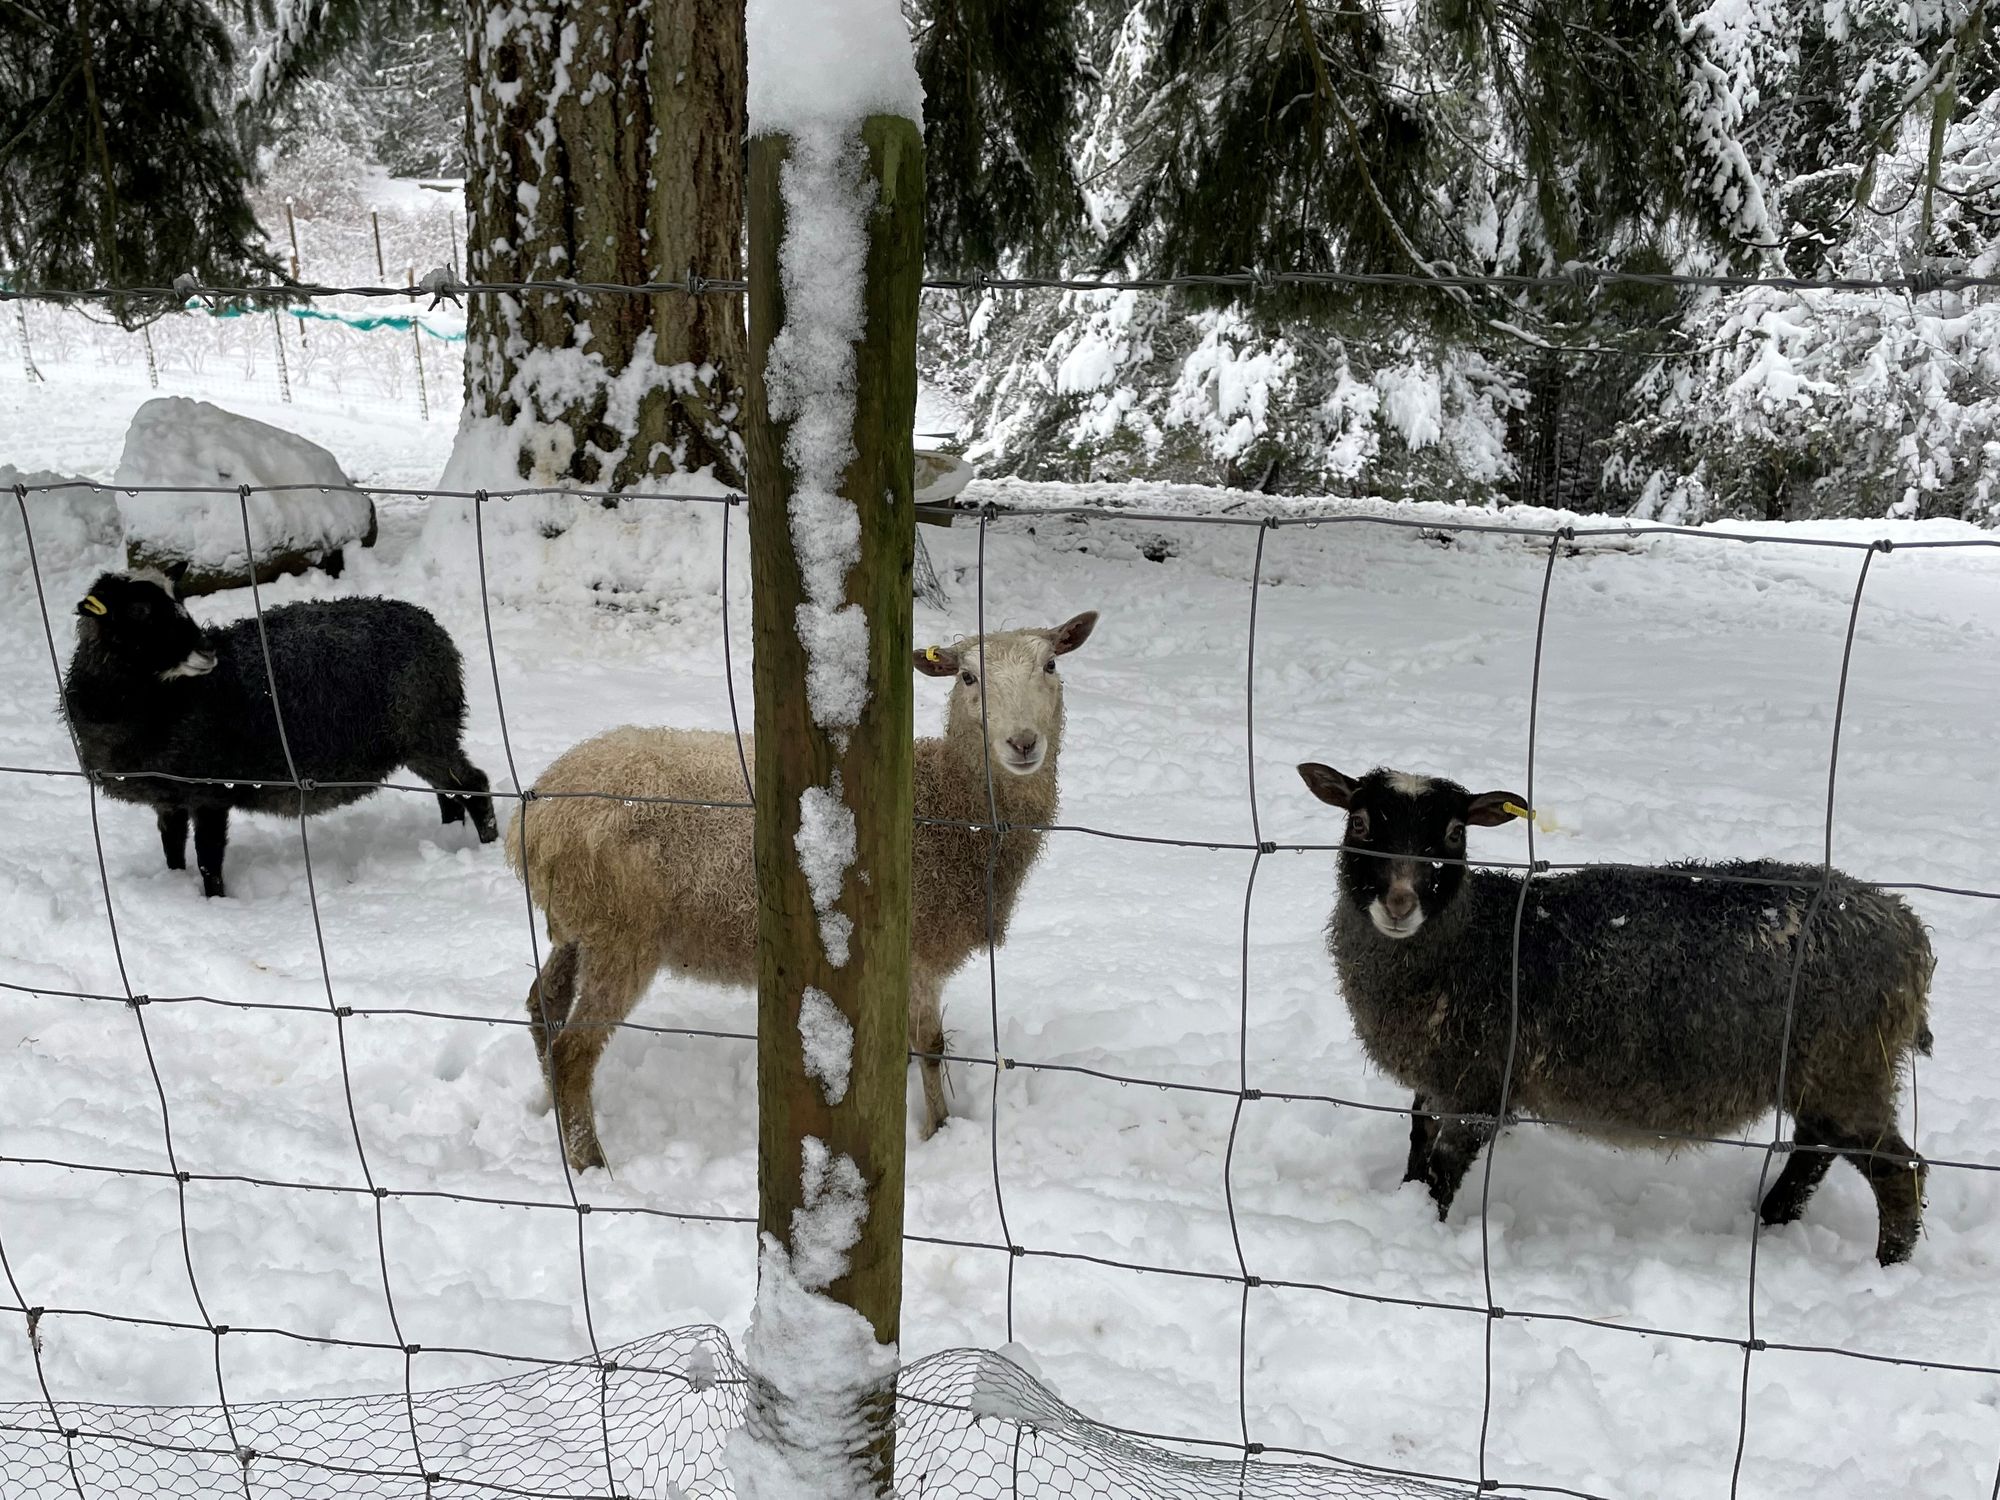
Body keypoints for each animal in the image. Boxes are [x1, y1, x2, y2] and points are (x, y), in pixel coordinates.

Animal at [64, 560, 500, 892]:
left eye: (180, 601)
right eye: (139, 613)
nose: (207, 650)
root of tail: (431, 627)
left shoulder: (212, 789)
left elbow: (208, 858)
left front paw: (215, 902)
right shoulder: (168, 795)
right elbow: (172, 849)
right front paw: (175, 885)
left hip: (428, 730)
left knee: (473, 784)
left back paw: (487, 845)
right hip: (420, 738)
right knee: (448, 793)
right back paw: (449, 839)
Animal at [500, 612, 1096, 1176]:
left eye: (1050, 666)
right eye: (968, 678)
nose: (1023, 742)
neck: (951, 808)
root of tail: (536, 817)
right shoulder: (917, 952)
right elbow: (931, 1047)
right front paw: (938, 1131)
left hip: (580, 923)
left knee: (542, 1003)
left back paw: (553, 1117)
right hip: (622, 933)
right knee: (575, 1051)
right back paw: (591, 1164)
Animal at [1296, 764, 1936, 1272]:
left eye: (1454, 834)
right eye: (1360, 823)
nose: (1399, 903)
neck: (1476, 938)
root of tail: (1904, 925)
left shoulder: (1480, 1083)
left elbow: (1444, 1168)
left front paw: (1424, 1227)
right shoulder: (1440, 1076)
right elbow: (1417, 1140)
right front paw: (1401, 1205)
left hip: (1848, 1067)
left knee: (1897, 1170)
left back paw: (1887, 1270)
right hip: (1825, 1074)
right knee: (1815, 1148)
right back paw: (1772, 1219)